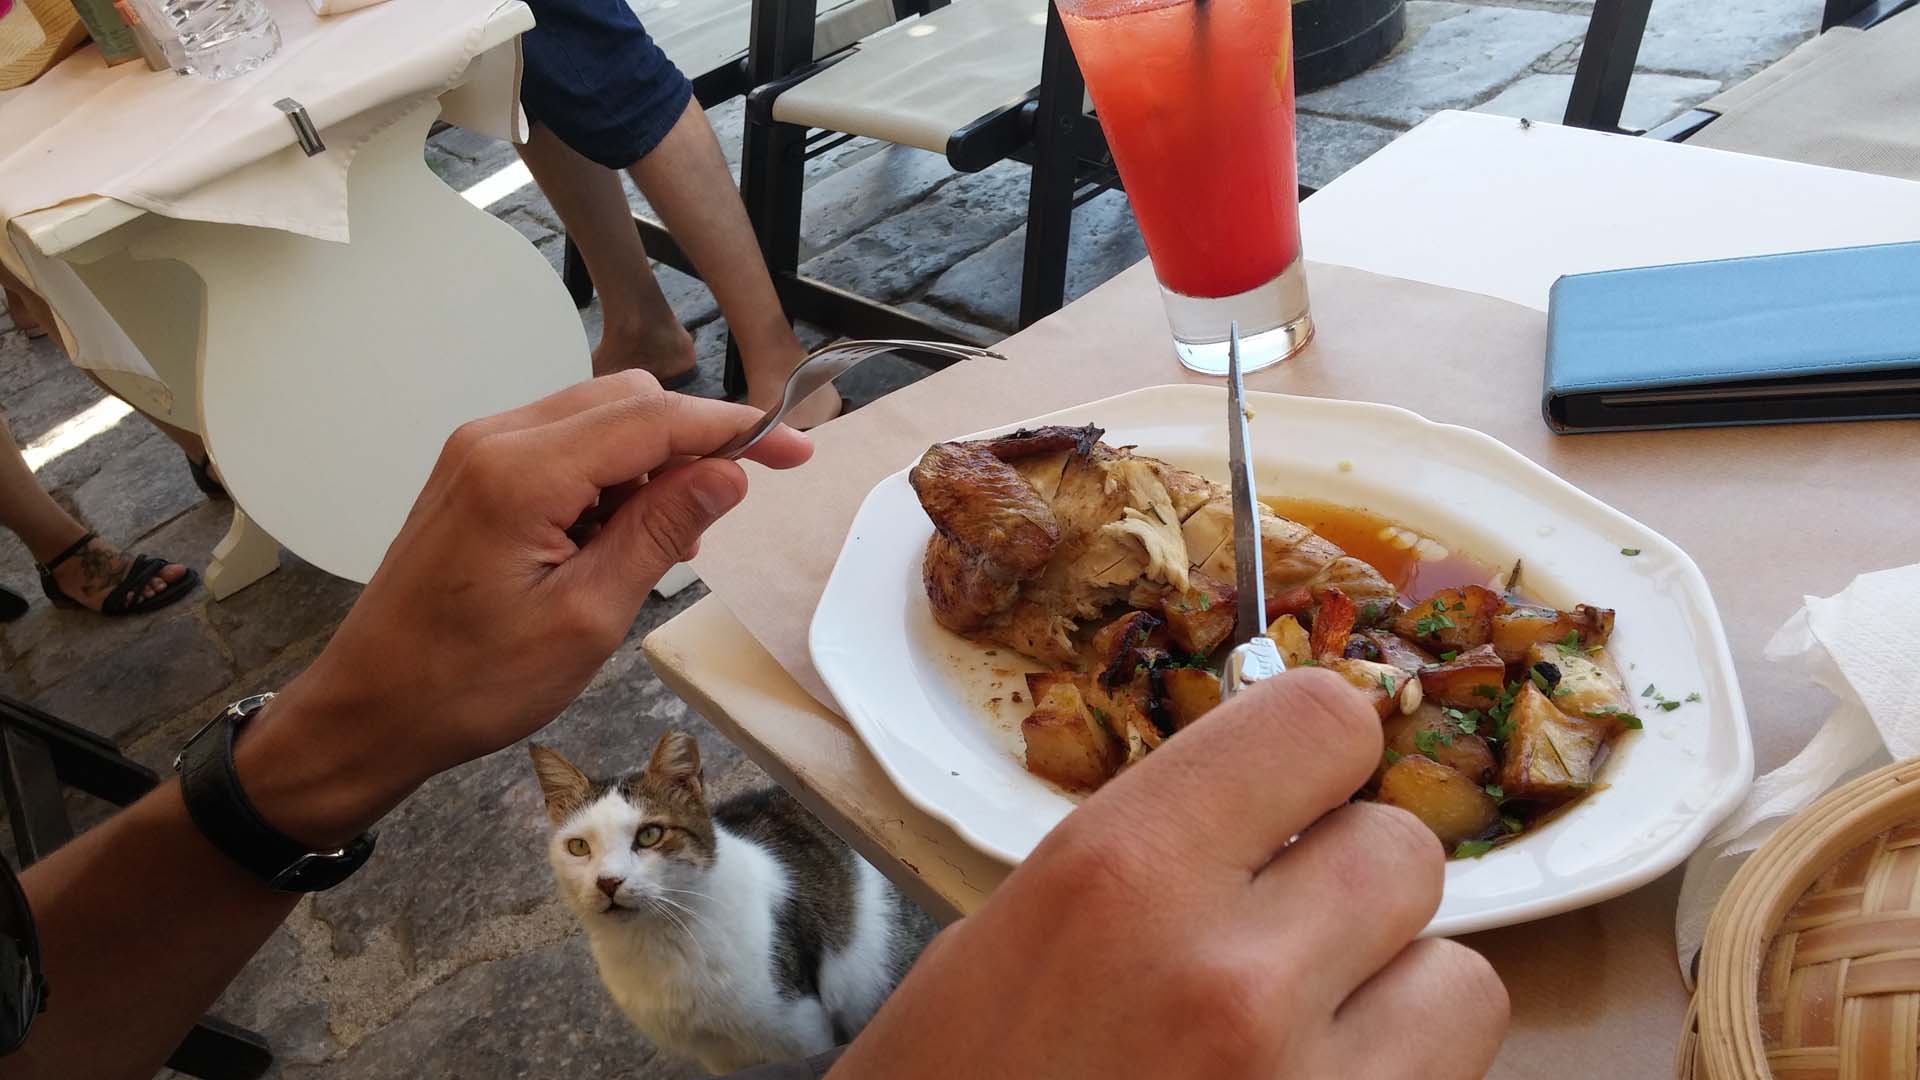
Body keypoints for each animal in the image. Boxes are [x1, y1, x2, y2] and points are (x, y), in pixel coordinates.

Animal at [529, 726, 925, 1068]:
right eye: (578, 847)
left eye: (650, 835)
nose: (608, 882)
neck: (656, 941)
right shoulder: (717, 1053)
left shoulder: (799, 1029)